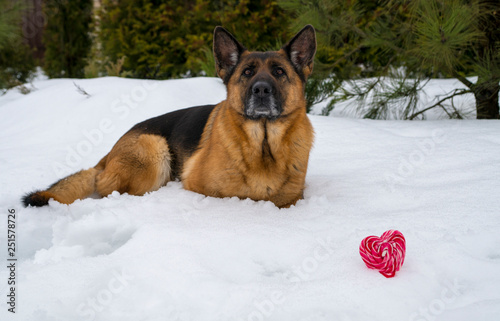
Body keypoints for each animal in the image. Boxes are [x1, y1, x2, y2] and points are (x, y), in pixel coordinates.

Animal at [22, 23, 316, 206]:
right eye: (247, 72)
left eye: (279, 72)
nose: (261, 89)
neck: (263, 146)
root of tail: (107, 156)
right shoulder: (201, 186)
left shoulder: (292, 197)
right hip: (154, 148)